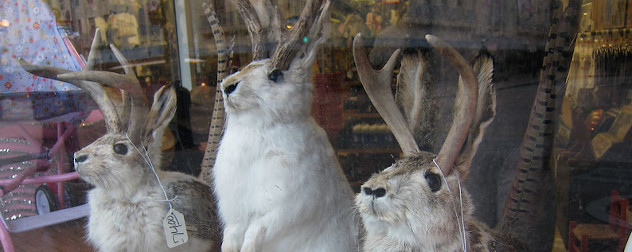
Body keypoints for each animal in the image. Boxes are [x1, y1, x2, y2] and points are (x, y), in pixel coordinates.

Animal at [215, 0, 358, 252]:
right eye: (248, 64)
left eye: (275, 74)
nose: (227, 85)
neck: (257, 129)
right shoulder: (236, 213)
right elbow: (231, 235)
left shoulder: (284, 206)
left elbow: (256, 229)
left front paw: (248, 249)